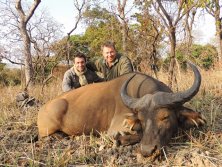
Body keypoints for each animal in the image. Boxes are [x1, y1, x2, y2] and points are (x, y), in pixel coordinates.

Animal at [37, 62, 206, 157]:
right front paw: (120, 140)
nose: (147, 151)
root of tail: (42, 109)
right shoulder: (115, 129)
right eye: (141, 120)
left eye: (165, 117)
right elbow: (131, 135)